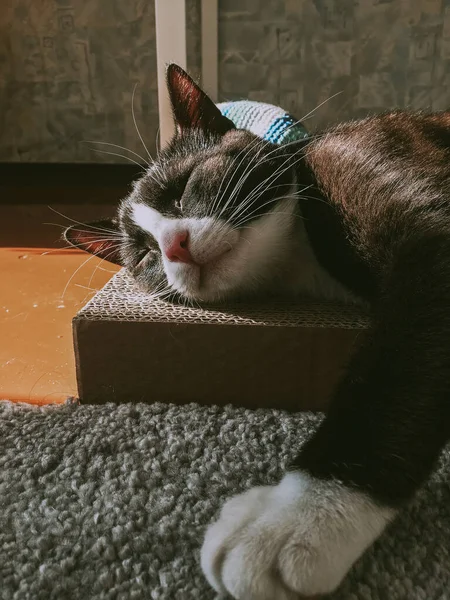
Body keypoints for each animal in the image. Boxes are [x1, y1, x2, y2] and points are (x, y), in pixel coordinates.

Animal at [65, 63, 450, 596]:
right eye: (143, 256)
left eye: (183, 189)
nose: (174, 246)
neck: (301, 259)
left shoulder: (424, 235)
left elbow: (390, 381)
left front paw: (297, 517)